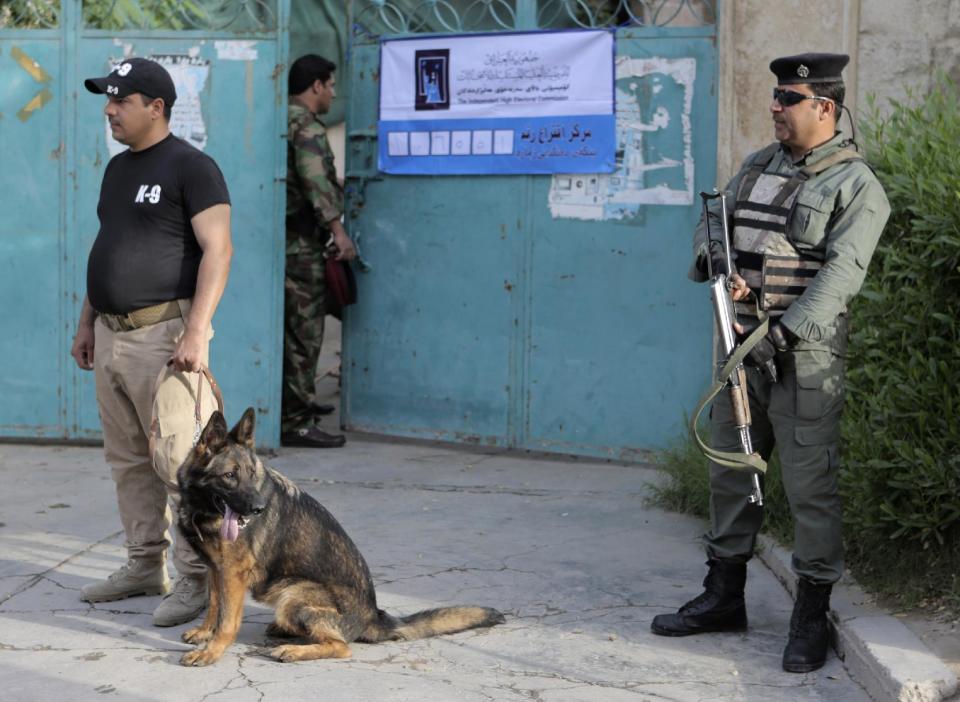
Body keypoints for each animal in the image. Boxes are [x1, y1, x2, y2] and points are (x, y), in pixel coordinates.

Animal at [176, 410, 506, 668]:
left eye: (249, 473)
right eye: (230, 476)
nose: (259, 508)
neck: (201, 506)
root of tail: (374, 615)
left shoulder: (233, 573)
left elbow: (228, 621)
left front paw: (212, 651)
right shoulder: (217, 568)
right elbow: (215, 605)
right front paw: (205, 632)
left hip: (293, 595)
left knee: (342, 647)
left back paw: (293, 650)